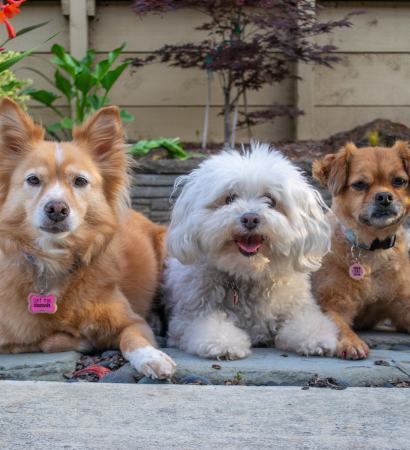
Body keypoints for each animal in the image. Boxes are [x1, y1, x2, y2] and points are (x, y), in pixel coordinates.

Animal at [0, 97, 175, 380]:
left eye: (80, 181)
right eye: (33, 179)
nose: (57, 209)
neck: (56, 264)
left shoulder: (131, 321)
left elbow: (134, 339)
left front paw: (152, 358)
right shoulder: (9, 338)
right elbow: (48, 340)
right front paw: (83, 339)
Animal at [162, 142, 338, 360]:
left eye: (271, 200)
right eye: (230, 198)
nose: (250, 219)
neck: (247, 273)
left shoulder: (297, 308)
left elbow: (306, 322)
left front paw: (318, 338)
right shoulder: (187, 318)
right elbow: (207, 324)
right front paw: (224, 343)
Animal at [312, 142, 410, 360]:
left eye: (399, 181)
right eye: (359, 184)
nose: (385, 197)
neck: (373, 250)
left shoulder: (403, 304)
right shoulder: (331, 305)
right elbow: (339, 327)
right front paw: (352, 342)